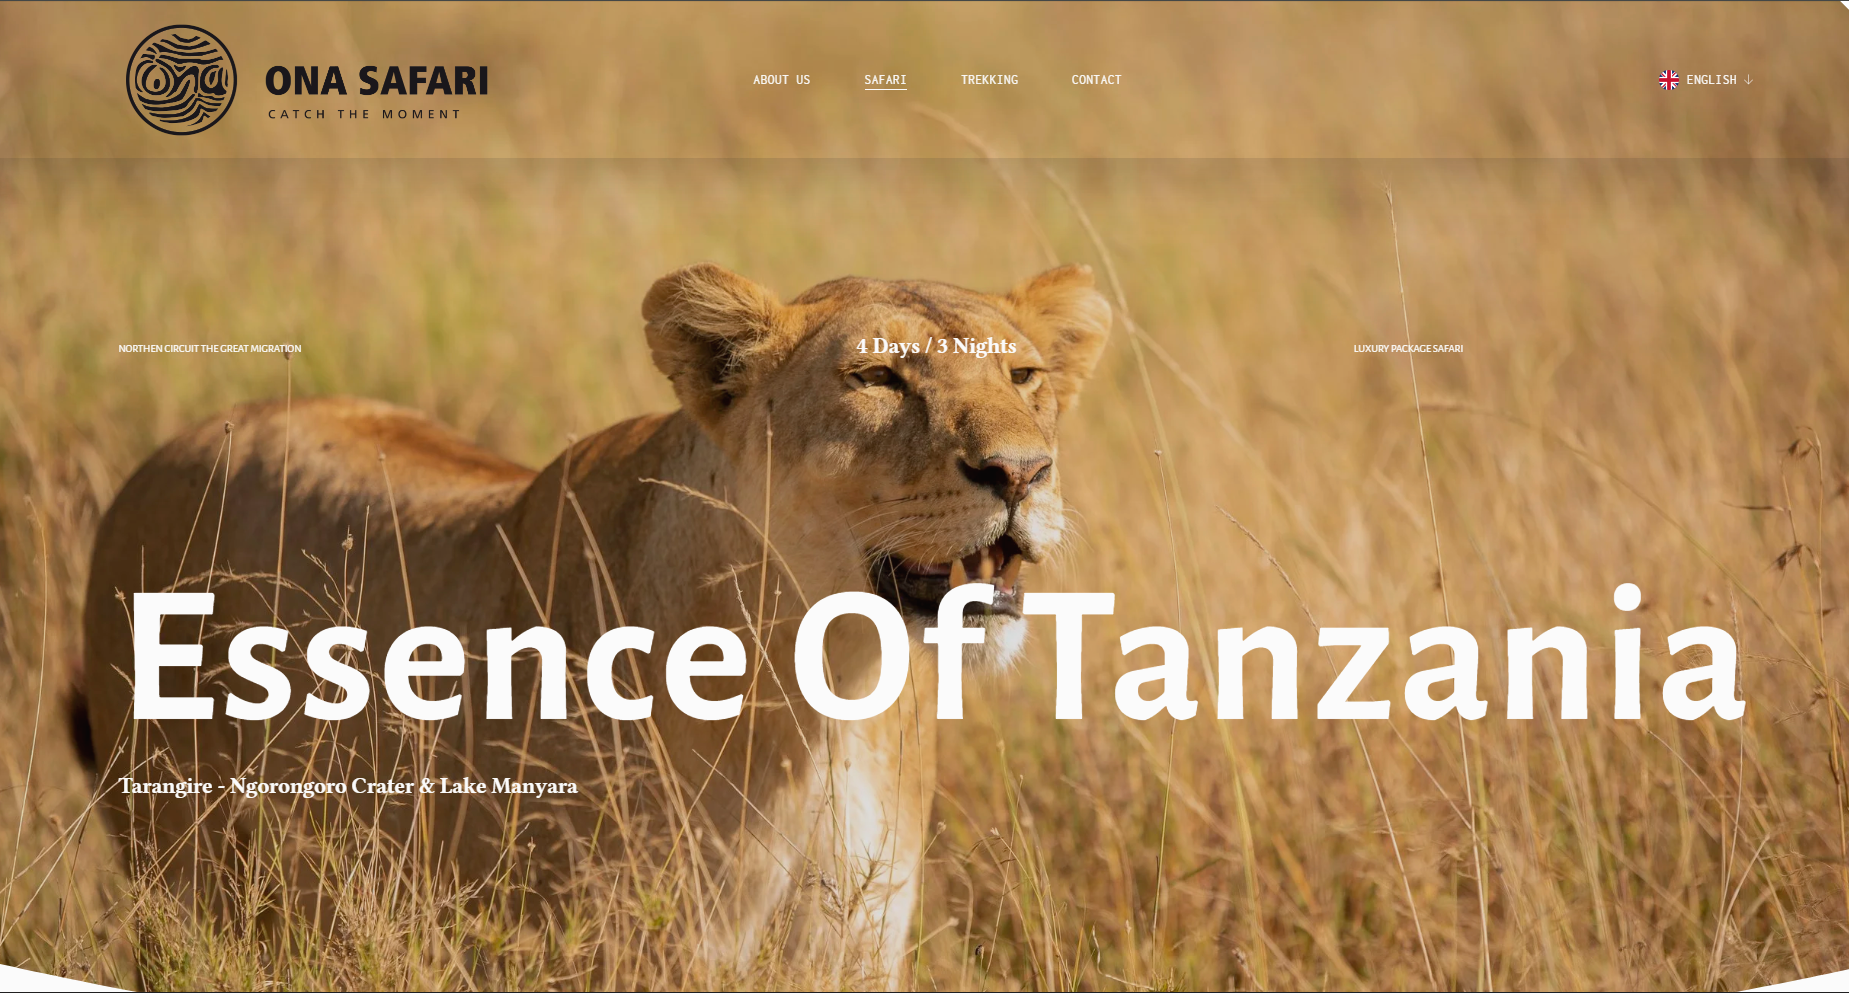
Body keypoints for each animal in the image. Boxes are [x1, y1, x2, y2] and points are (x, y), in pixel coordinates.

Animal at [77, 262, 1110, 984]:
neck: (825, 689)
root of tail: (166, 453)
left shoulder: (849, 946)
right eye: (880, 377)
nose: (1022, 471)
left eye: (1024, 375)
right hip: (181, 875)